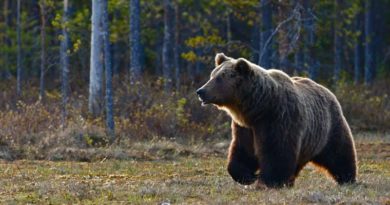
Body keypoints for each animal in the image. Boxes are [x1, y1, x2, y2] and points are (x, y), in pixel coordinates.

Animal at [197, 52, 358, 187]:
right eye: (212, 75)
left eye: (219, 78)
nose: (200, 91)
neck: (258, 108)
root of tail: (326, 90)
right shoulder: (245, 127)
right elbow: (243, 151)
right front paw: (247, 176)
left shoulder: (278, 119)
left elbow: (277, 152)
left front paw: (269, 180)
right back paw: (290, 181)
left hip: (329, 128)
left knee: (339, 153)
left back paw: (347, 178)